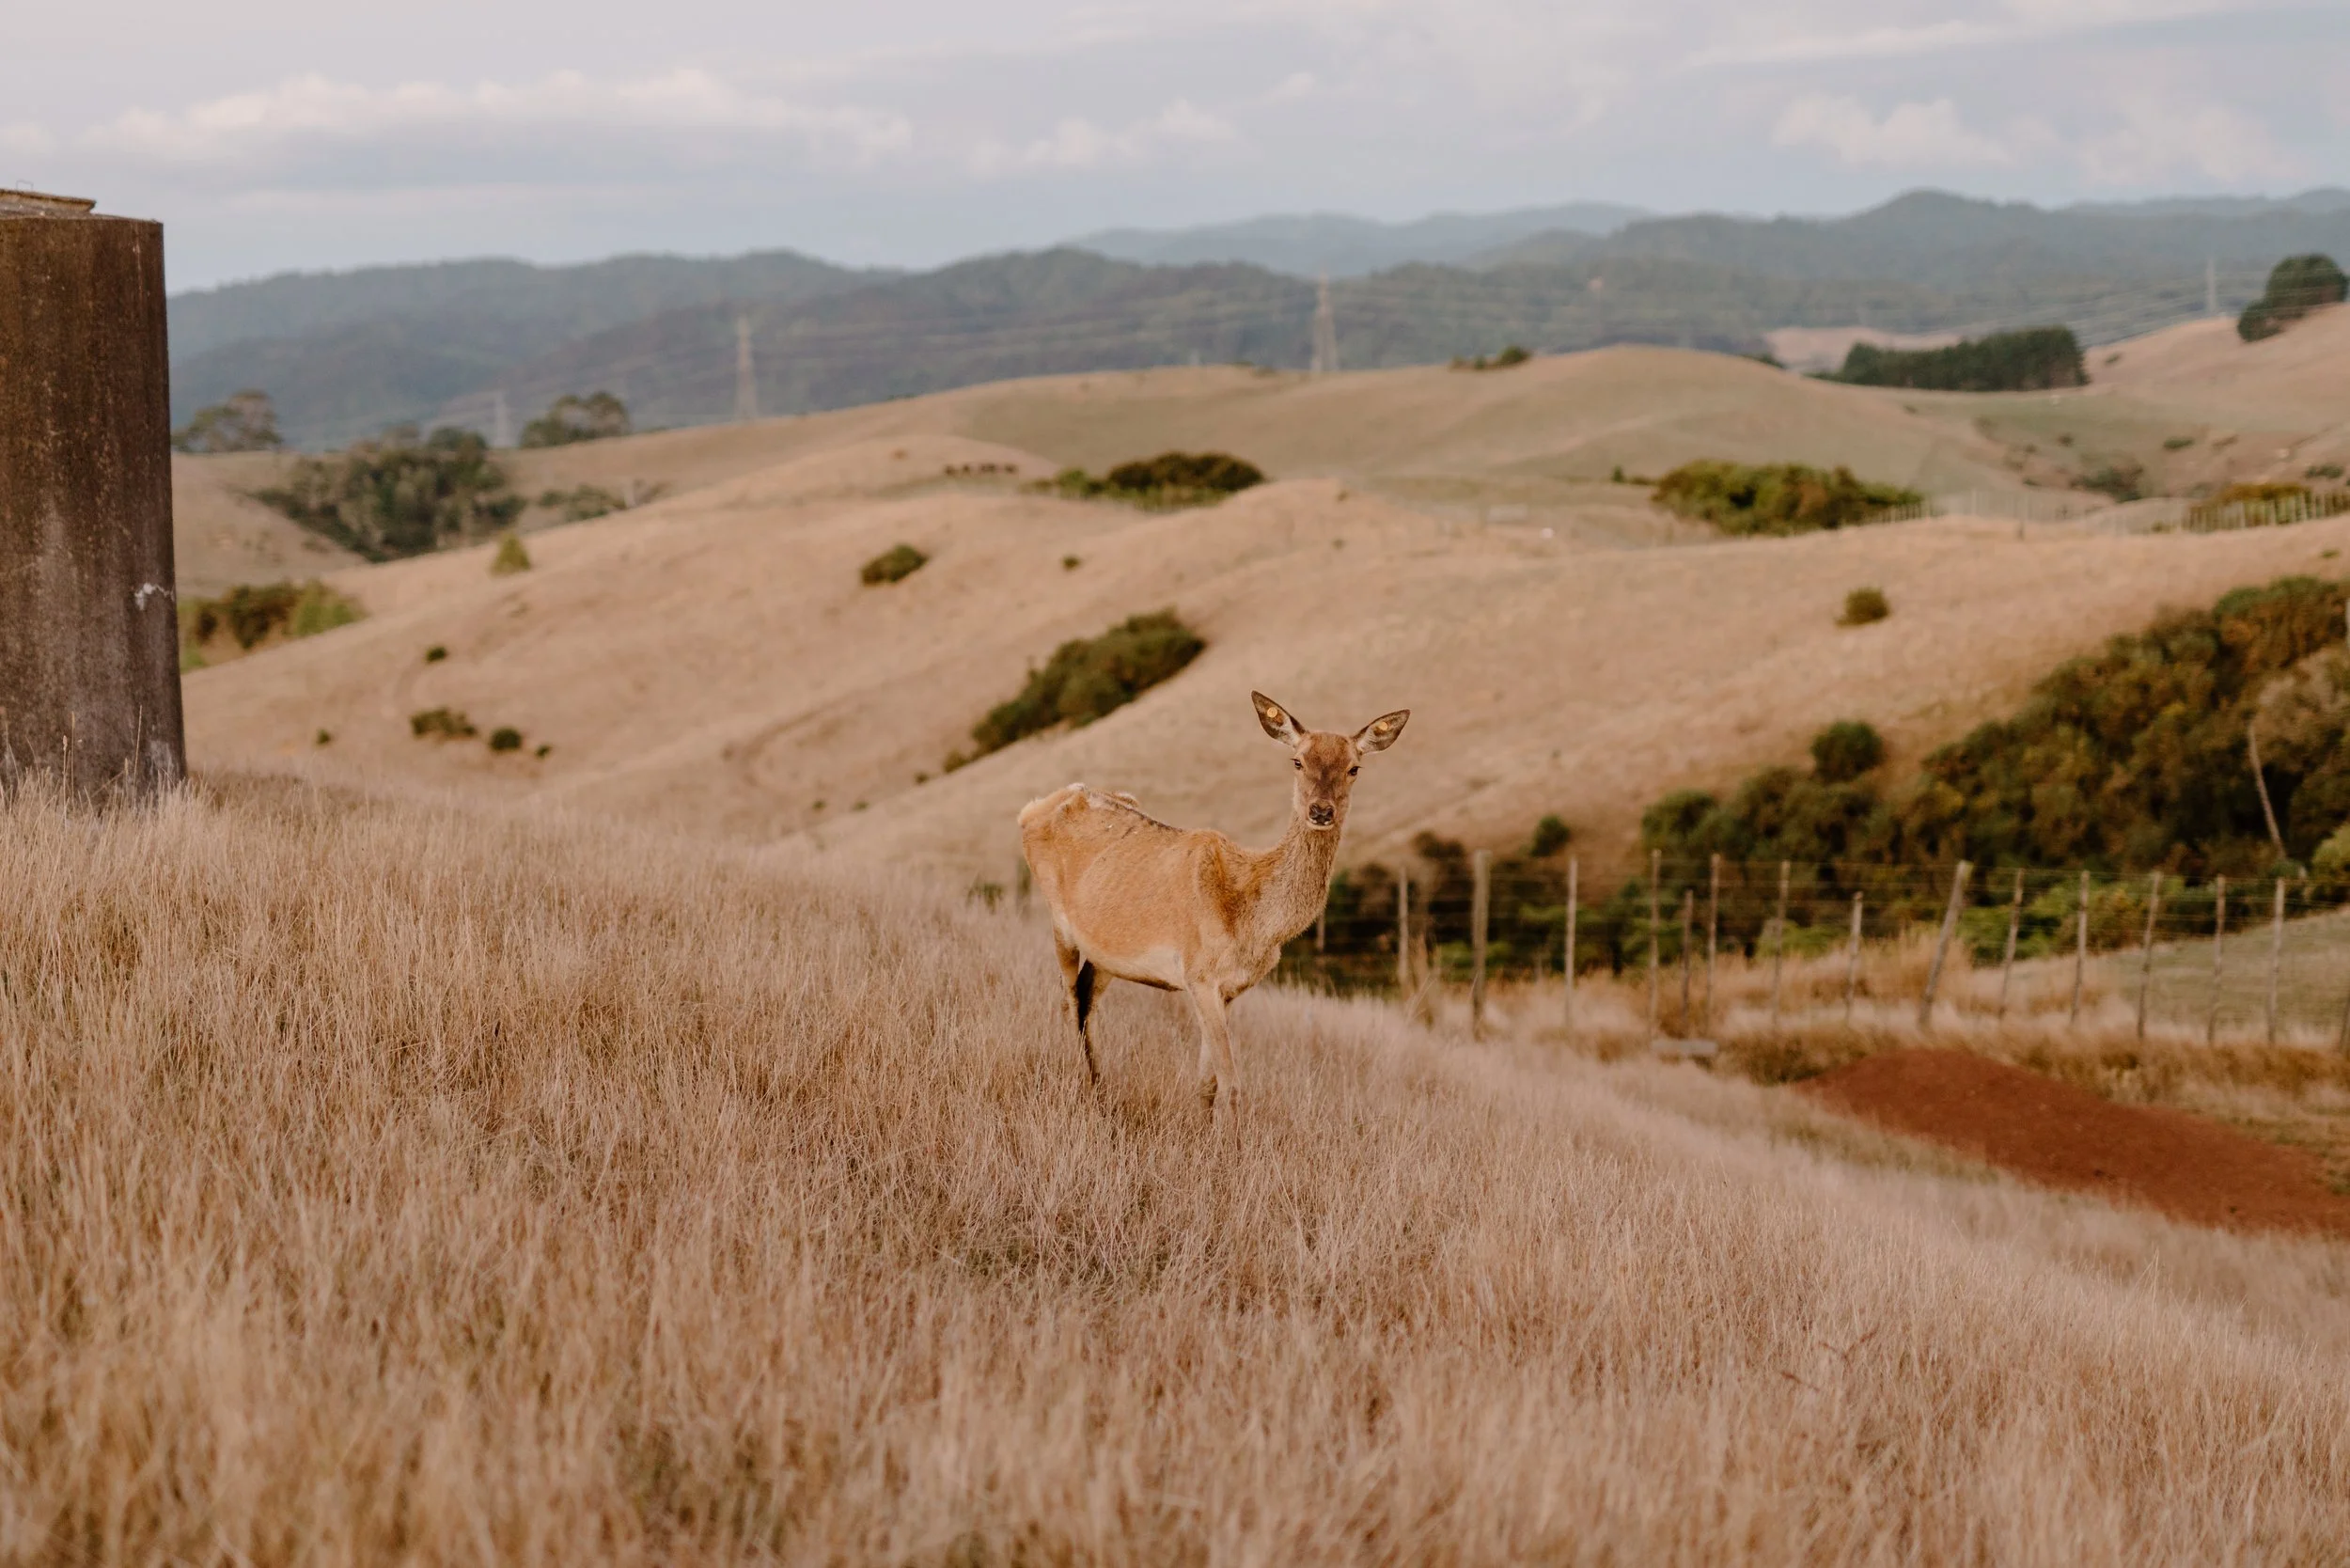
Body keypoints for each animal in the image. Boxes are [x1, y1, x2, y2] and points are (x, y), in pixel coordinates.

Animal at [1017, 691, 1409, 1132]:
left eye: (1354, 767)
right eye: (1297, 761)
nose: (1321, 811)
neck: (1254, 925)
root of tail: (1031, 810)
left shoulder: (1229, 989)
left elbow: (1207, 1083)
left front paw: (1201, 1137)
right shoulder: (1199, 974)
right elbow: (1233, 1085)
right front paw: (1232, 1147)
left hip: (1106, 954)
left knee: (1086, 1001)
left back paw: (1100, 1091)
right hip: (1058, 922)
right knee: (1067, 1001)